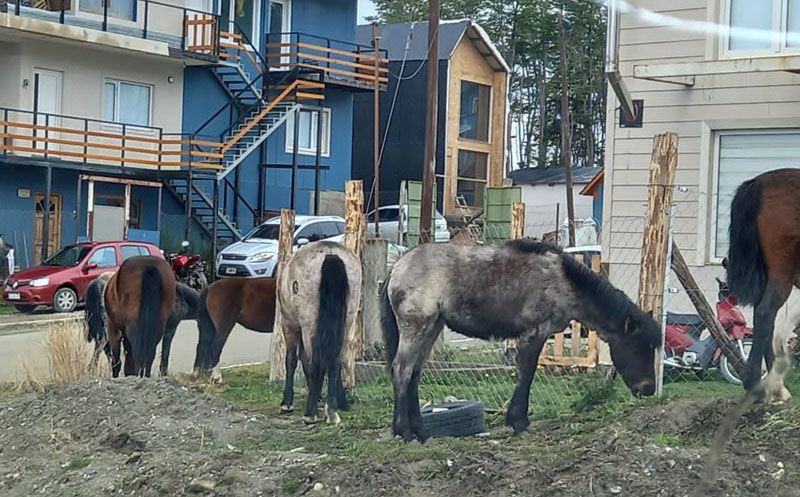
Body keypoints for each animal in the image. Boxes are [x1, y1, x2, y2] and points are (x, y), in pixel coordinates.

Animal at [278, 241, 362, 425]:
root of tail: (330, 254)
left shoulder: (290, 326)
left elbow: (292, 360)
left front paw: (287, 403)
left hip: (308, 325)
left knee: (316, 362)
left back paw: (310, 413)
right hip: (347, 323)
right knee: (336, 360)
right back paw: (331, 411)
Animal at [381, 239, 661, 442]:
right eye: (640, 346)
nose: (648, 389)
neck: (563, 281)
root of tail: (397, 267)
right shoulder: (534, 334)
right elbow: (526, 375)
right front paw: (519, 422)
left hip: (432, 327)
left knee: (415, 374)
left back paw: (421, 431)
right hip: (416, 328)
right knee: (402, 371)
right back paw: (405, 432)